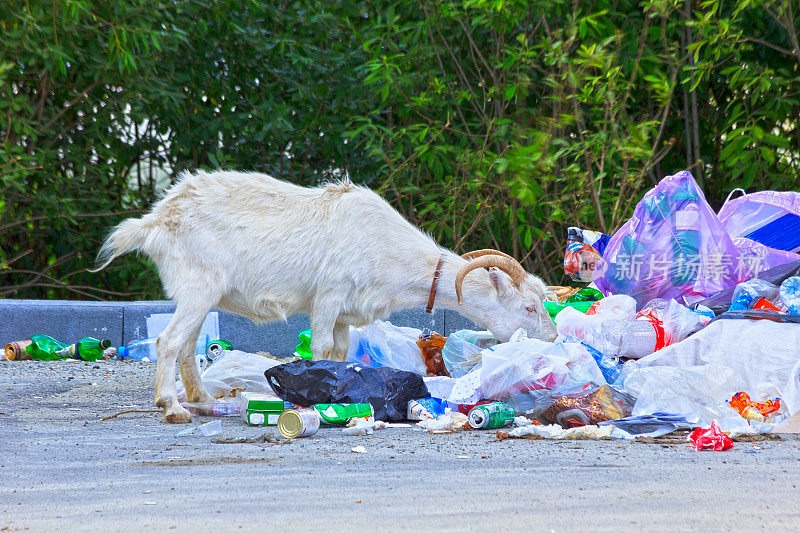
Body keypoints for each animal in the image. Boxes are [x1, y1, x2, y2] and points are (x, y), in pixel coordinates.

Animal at [94, 169, 556, 420]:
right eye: (529, 306)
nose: (553, 340)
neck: (385, 245)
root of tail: (156, 221)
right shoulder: (328, 298)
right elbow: (317, 348)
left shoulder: (347, 315)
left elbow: (338, 353)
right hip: (198, 286)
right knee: (167, 341)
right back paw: (171, 406)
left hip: (199, 295)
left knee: (187, 344)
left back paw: (202, 399)